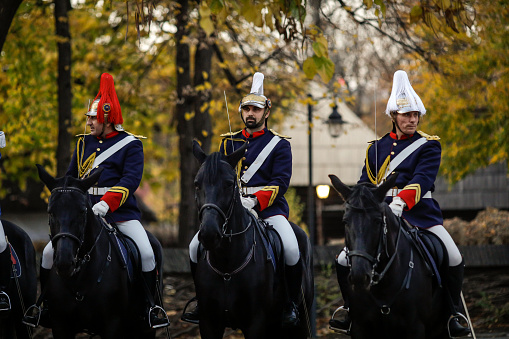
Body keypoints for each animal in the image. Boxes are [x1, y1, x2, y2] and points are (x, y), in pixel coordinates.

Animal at [34, 165, 165, 339]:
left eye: (82, 211)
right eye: (50, 211)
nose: (64, 262)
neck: (79, 278)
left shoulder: (112, 324)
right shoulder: (60, 325)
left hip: (144, 329)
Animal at [191, 141, 314, 339]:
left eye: (228, 184)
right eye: (197, 184)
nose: (209, 233)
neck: (227, 265)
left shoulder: (255, 323)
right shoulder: (209, 323)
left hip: (300, 322)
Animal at [328, 175, 446, 339]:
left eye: (378, 221)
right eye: (345, 221)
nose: (359, 276)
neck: (383, 286)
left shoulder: (416, 328)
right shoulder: (359, 328)